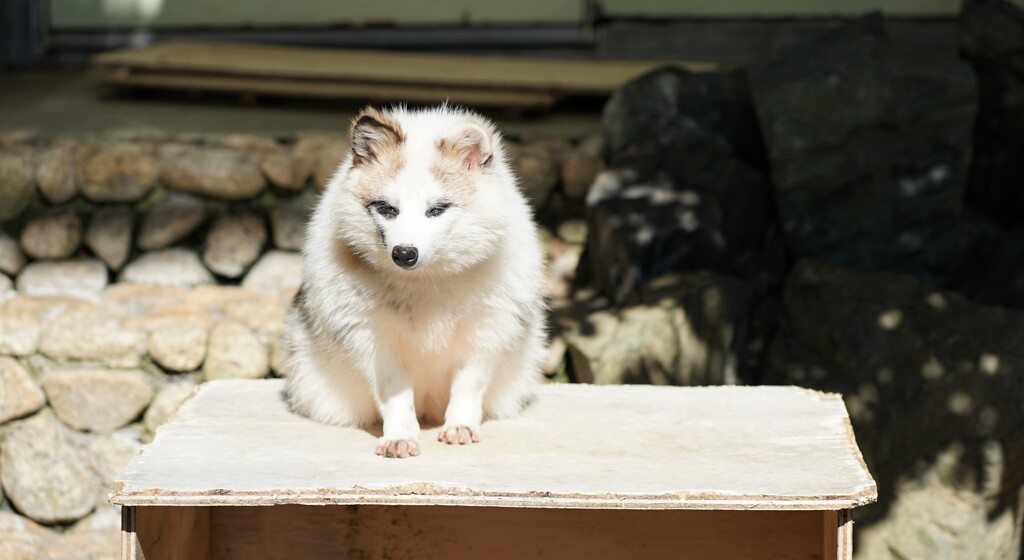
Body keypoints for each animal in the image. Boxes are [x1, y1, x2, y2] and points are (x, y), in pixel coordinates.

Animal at [284, 105, 548, 460]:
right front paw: (400, 436)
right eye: (386, 208)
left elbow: (468, 386)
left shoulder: (486, 334)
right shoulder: (374, 341)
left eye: (437, 209)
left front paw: (460, 426)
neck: (426, 282)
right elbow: (395, 395)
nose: (405, 254)